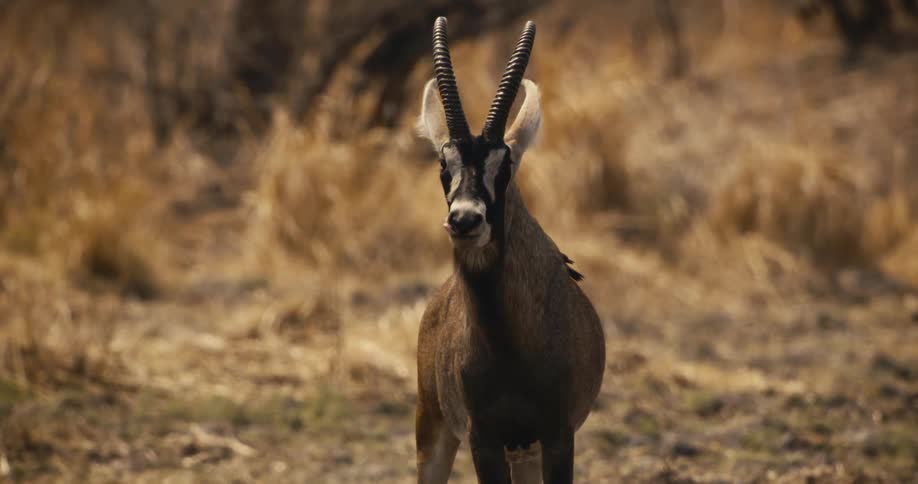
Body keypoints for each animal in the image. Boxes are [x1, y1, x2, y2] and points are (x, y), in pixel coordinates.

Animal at [415, 17, 606, 484]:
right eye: (443, 164)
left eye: (505, 165)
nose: (465, 220)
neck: (508, 343)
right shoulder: (483, 440)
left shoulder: (557, 436)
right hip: (435, 427)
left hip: (526, 450)